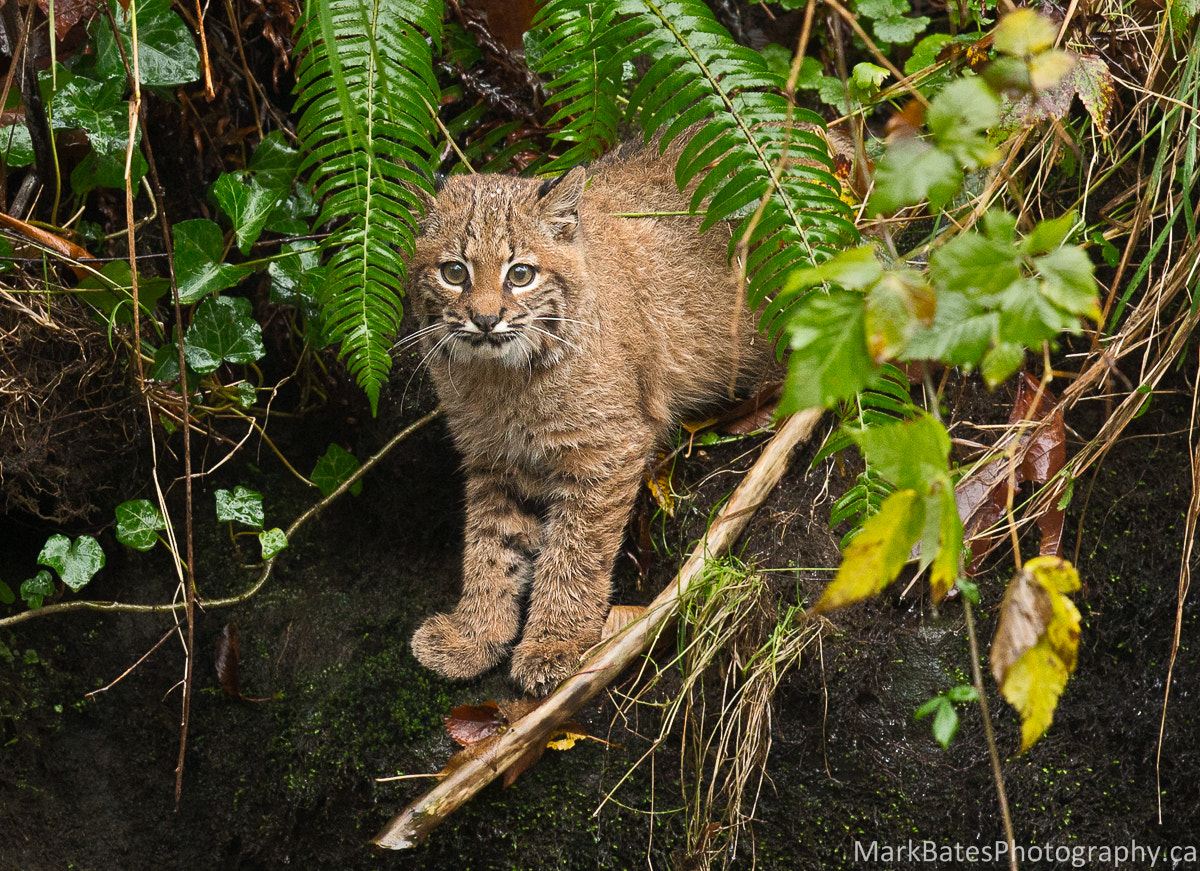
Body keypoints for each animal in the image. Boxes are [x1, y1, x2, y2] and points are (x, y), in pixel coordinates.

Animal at [408, 134, 772, 695]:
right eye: (454, 273)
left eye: (520, 275)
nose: (486, 320)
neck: (501, 379)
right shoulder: (494, 460)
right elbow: (490, 548)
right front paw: (475, 636)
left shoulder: (605, 450)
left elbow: (575, 553)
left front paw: (553, 645)